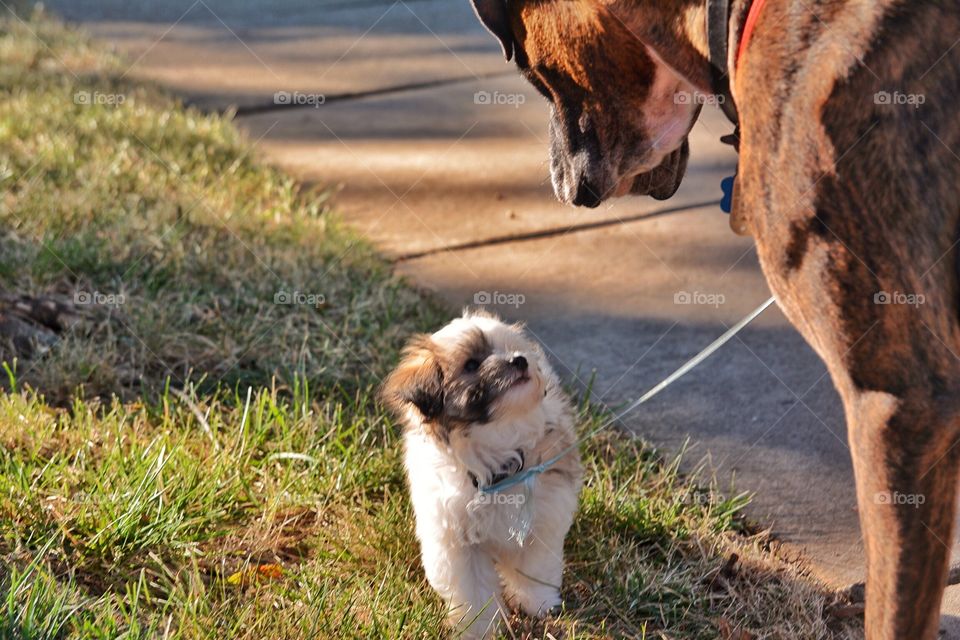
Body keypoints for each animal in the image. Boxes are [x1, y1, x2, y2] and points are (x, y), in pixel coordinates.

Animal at [380, 308, 576, 636]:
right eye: (471, 364)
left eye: (511, 350)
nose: (519, 360)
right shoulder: (454, 539)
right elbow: (473, 591)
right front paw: (480, 627)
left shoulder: (542, 516)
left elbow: (534, 565)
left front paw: (537, 603)